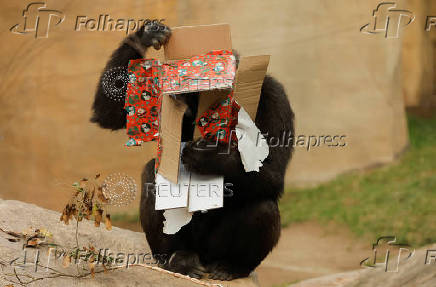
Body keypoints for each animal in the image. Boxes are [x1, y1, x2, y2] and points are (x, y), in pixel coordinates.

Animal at [92, 19, 296, 282]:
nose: (191, 107)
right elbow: (112, 112)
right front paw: (144, 36)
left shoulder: (274, 96)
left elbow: (273, 170)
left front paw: (210, 157)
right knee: (152, 174)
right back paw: (177, 258)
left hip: (214, 249)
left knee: (264, 207)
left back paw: (232, 266)